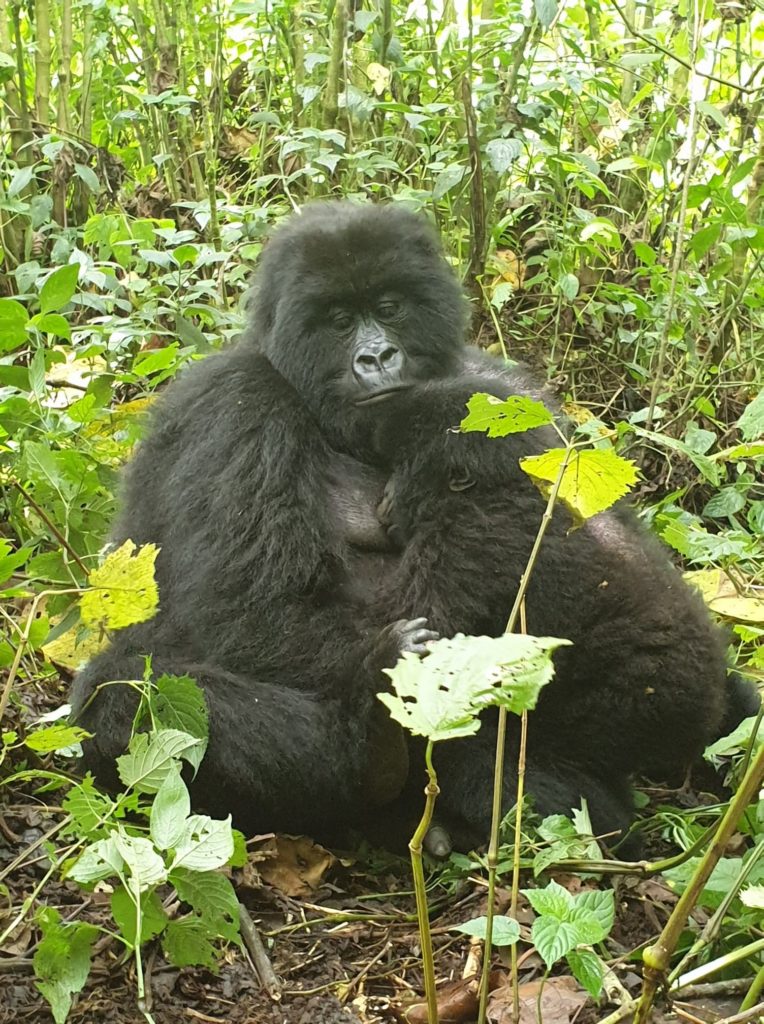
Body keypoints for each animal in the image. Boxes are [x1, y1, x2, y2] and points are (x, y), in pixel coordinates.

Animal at [72, 199, 757, 847]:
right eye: (339, 321)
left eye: (390, 307)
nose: (377, 356)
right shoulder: (234, 405)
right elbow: (247, 612)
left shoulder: (512, 385)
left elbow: (584, 510)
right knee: (125, 695)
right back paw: (374, 746)